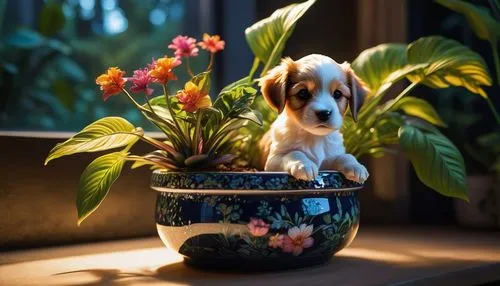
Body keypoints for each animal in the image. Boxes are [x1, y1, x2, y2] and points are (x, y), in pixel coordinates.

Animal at [260, 54, 370, 183]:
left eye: (337, 94)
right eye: (303, 93)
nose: (324, 113)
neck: (315, 138)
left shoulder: (327, 162)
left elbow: (344, 156)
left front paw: (356, 165)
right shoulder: (272, 161)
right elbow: (294, 152)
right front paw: (303, 164)